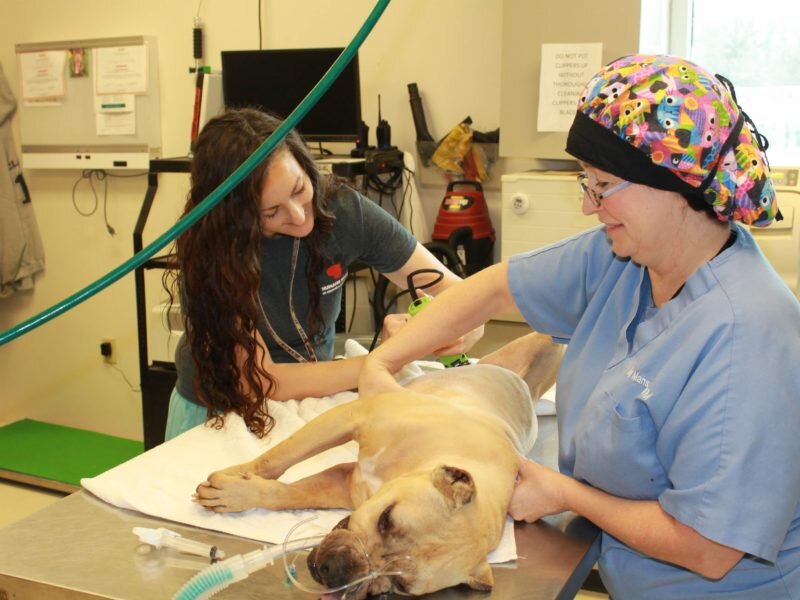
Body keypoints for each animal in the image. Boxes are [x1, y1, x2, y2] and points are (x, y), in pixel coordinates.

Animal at [197, 330, 564, 596]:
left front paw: (239, 493)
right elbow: (278, 457)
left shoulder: (341, 484)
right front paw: (234, 483)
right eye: (387, 519)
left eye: (399, 586)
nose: (337, 572)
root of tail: (521, 383)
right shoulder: (350, 417)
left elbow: (288, 494)